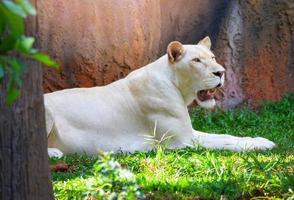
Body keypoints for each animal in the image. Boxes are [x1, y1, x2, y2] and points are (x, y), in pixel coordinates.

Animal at [44, 36, 274, 158]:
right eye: (197, 60)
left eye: (213, 57)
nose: (221, 72)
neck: (177, 86)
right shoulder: (183, 141)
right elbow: (224, 144)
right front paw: (261, 145)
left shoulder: (189, 132)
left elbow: (226, 136)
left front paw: (260, 139)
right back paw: (54, 153)